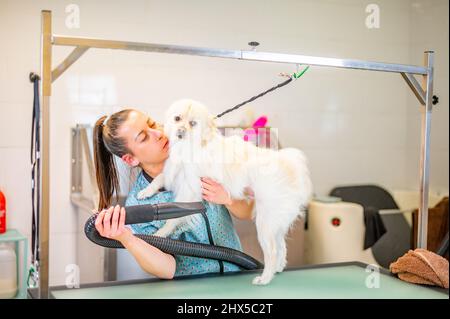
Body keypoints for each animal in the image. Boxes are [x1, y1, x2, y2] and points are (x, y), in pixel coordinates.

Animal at [137, 99, 312, 284]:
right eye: (177, 118)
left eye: (193, 124)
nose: (180, 132)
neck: (191, 147)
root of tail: (289, 164)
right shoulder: (174, 174)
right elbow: (159, 178)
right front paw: (145, 191)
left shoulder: (190, 188)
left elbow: (173, 219)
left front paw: (161, 233)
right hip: (275, 222)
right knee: (281, 247)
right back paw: (278, 269)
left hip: (265, 222)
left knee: (272, 251)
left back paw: (265, 278)